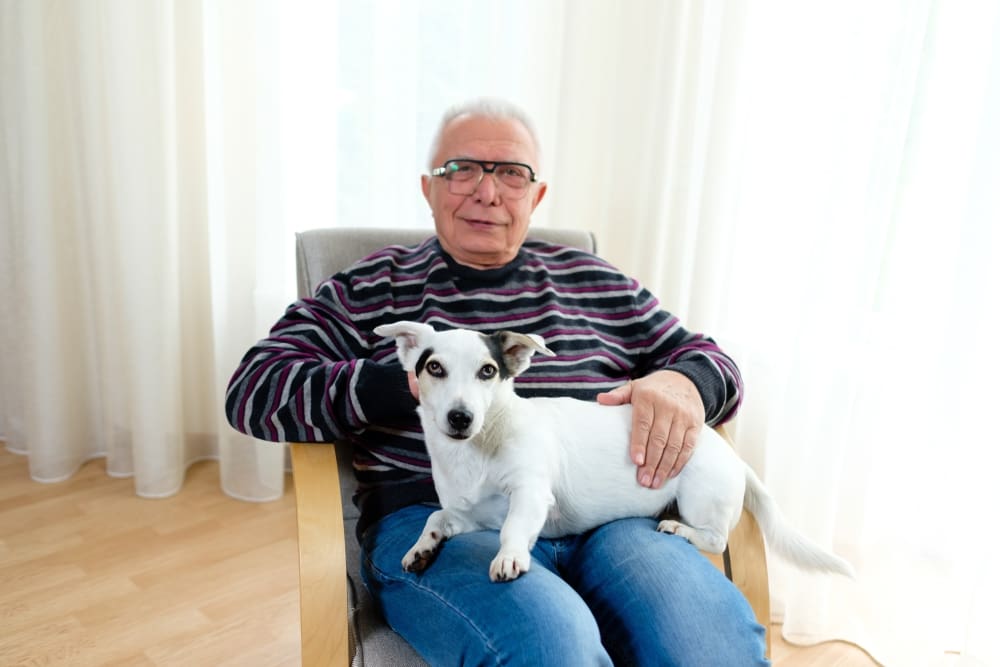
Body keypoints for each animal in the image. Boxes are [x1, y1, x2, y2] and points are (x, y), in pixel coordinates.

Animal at [376, 320, 852, 580]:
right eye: (433, 368)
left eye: (488, 371)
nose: (461, 418)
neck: (477, 449)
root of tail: (735, 457)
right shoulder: (471, 516)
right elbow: (436, 518)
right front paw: (422, 548)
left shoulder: (530, 495)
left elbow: (513, 530)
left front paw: (509, 557)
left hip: (700, 496)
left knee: (715, 538)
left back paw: (681, 530)